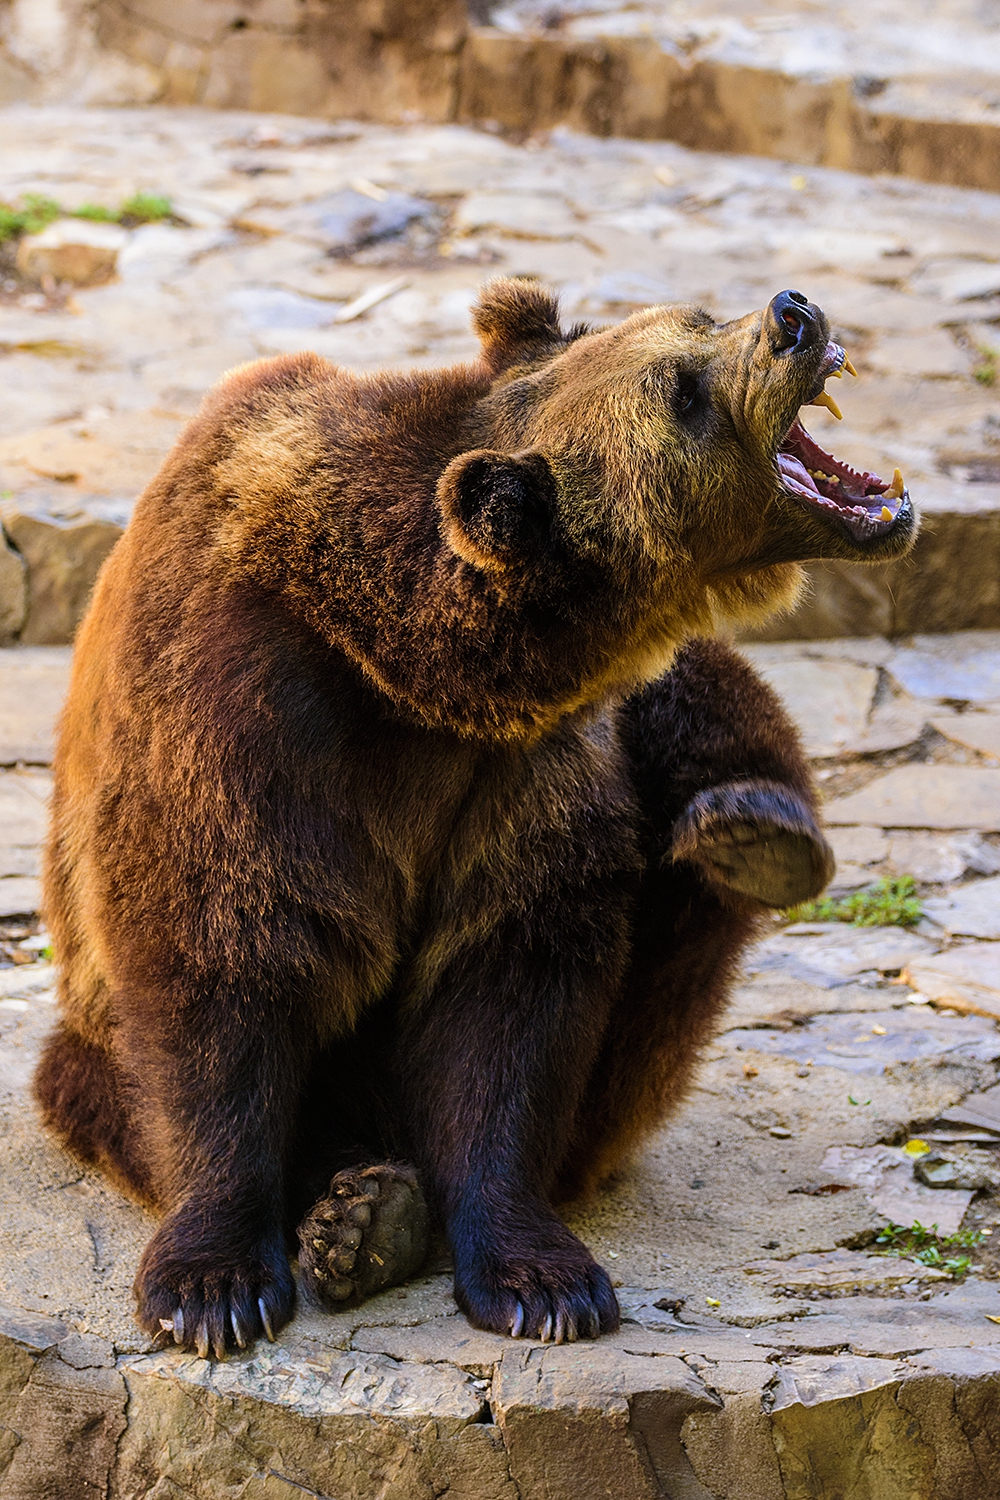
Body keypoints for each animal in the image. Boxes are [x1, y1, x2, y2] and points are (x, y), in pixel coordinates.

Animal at [37, 279, 917, 1362]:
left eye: (697, 318)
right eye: (682, 389)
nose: (792, 313)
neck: (415, 663)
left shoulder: (526, 767)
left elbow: (512, 987)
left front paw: (542, 1282)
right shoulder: (241, 706)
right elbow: (217, 950)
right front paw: (214, 1287)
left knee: (703, 719)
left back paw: (755, 833)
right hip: (85, 1056)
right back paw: (360, 1212)